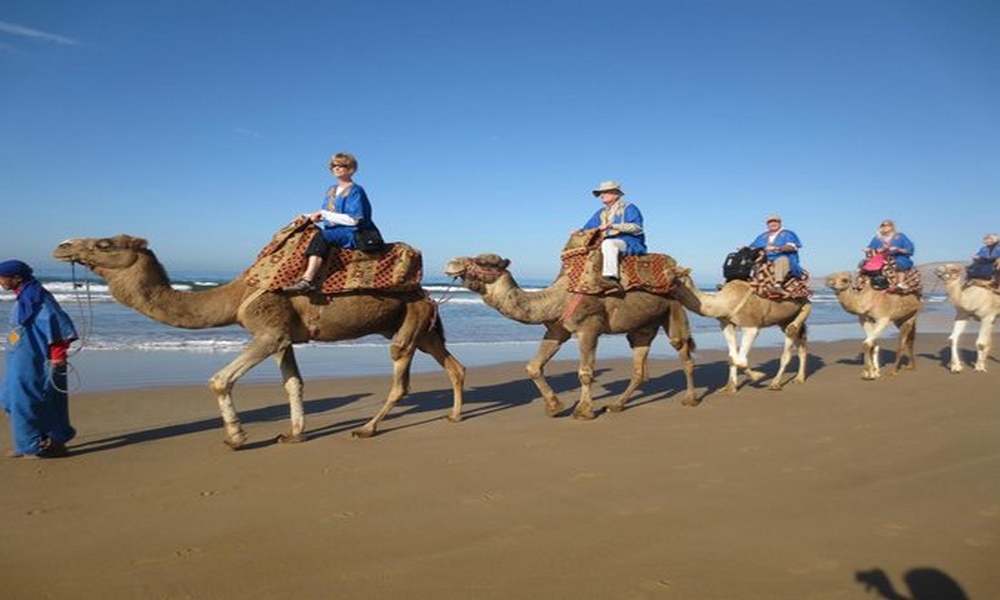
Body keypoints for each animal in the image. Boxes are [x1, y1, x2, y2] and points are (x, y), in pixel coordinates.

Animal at [56, 233, 470, 446]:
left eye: (104, 243)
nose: (62, 245)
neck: (235, 295)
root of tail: (426, 292)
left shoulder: (268, 330)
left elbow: (219, 380)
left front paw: (236, 436)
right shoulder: (284, 337)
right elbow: (293, 383)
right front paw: (294, 433)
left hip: (410, 320)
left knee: (401, 373)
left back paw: (367, 428)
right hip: (421, 326)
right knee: (454, 366)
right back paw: (453, 415)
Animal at [442, 252, 700, 418]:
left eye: (483, 262)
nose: (451, 262)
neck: (558, 298)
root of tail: (679, 273)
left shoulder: (589, 328)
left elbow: (585, 373)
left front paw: (583, 411)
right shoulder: (557, 329)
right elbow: (533, 367)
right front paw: (554, 407)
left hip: (674, 308)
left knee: (683, 352)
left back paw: (690, 399)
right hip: (643, 327)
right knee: (639, 367)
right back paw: (616, 405)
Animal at [664, 268, 812, 392]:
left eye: (674, 273)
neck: (724, 302)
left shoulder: (751, 326)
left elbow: (741, 360)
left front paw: (758, 376)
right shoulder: (726, 324)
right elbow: (732, 357)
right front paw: (729, 387)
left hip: (801, 301)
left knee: (795, 324)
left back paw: (776, 383)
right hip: (784, 318)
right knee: (800, 341)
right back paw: (799, 378)